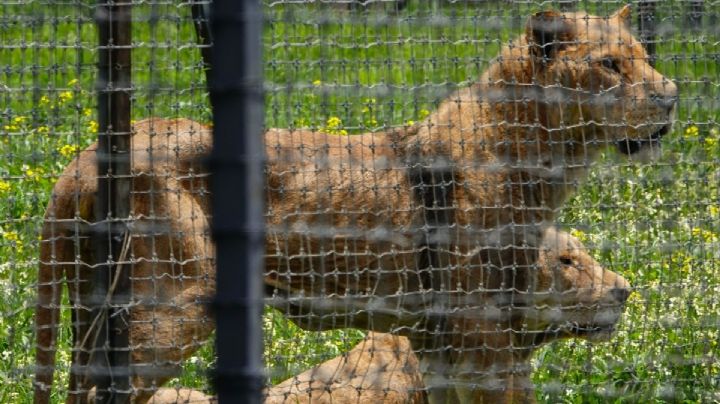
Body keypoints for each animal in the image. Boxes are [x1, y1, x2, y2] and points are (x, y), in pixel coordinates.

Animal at [33, 3, 676, 404]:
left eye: (647, 58)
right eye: (609, 65)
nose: (671, 97)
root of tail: (87, 155)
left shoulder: (441, 345)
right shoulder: (484, 334)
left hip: (93, 308)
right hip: (172, 306)